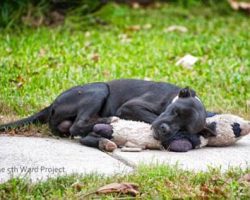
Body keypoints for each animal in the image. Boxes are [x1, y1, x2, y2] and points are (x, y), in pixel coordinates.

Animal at [0, 78, 215, 144]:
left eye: (184, 129)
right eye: (175, 112)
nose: (164, 130)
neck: (171, 98)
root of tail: (51, 105)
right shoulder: (131, 106)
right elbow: (150, 116)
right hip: (99, 89)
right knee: (77, 126)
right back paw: (109, 120)